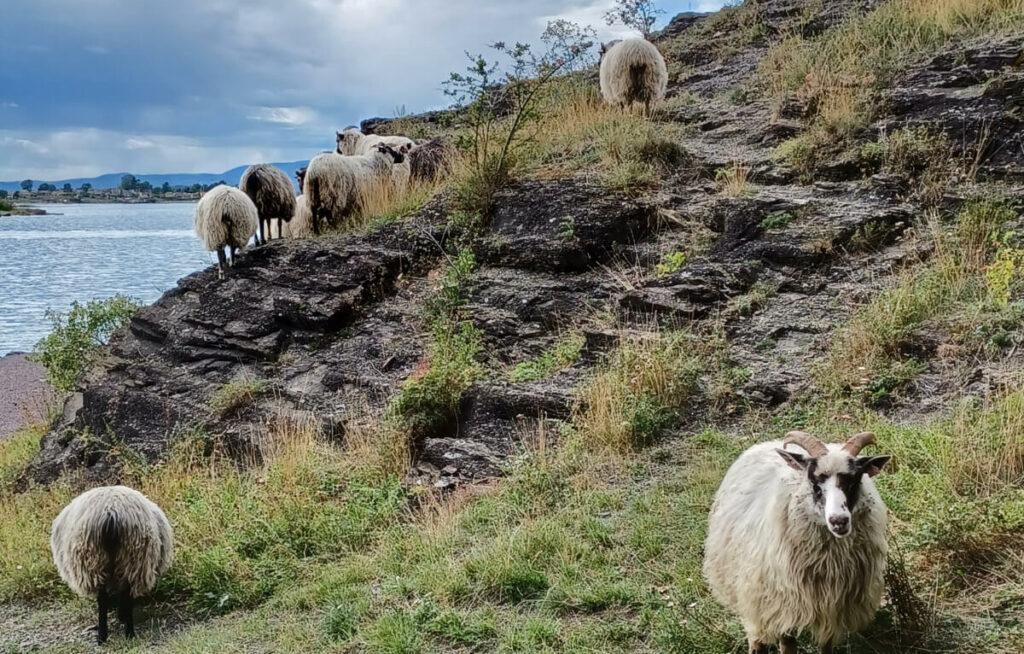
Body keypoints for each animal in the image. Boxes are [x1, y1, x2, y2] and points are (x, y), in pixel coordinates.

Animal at [51, 487, 174, 646]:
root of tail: (111, 512)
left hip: (97, 561)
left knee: (105, 599)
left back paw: (106, 634)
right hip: (131, 560)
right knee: (125, 594)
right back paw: (127, 633)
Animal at [704, 431, 888, 650]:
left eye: (855, 481)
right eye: (815, 484)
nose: (839, 521)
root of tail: (770, 443)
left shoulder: (831, 612)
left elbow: (825, 647)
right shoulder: (783, 608)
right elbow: (787, 646)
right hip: (750, 591)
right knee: (755, 635)